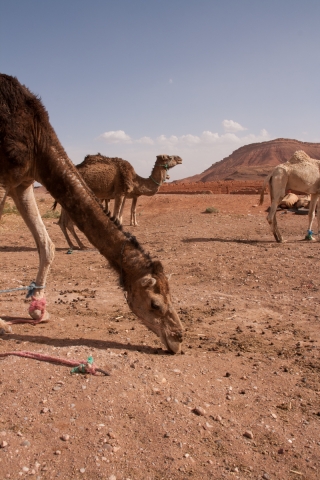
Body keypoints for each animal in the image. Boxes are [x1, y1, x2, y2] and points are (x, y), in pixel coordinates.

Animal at [54, 153, 182, 251]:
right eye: (169, 157)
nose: (180, 158)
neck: (135, 179)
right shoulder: (119, 193)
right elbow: (116, 218)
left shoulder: (122, 194)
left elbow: (119, 216)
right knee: (68, 222)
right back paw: (80, 245)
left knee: (62, 222)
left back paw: (74, 245)